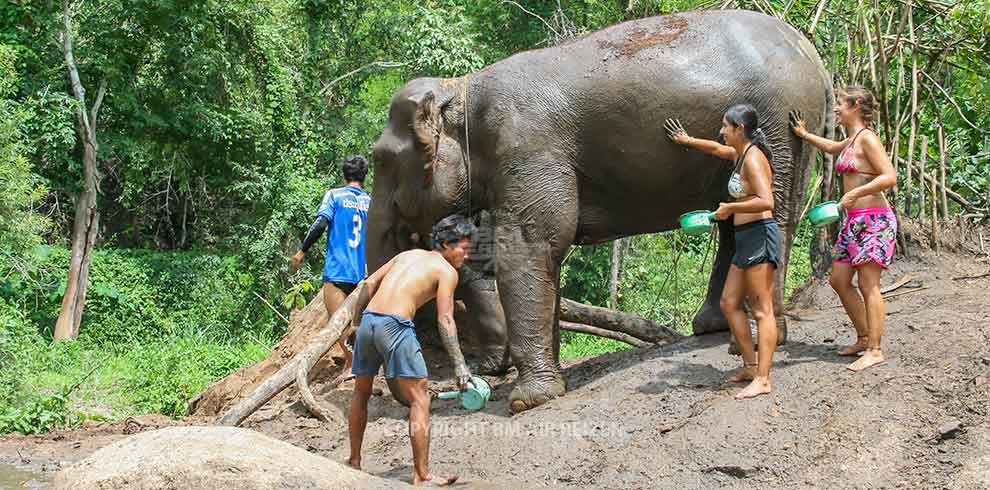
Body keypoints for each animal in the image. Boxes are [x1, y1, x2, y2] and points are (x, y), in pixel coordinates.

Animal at [368, 8, 832, 414]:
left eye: (380, 160)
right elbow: (543, 254)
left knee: (772, 213)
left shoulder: (529, 149)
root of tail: (814, 58)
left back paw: (747, 340)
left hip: (779, 124)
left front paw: (527, 401)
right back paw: (713, 327)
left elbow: (531, 245)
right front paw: (549, 383)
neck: (464, 88)